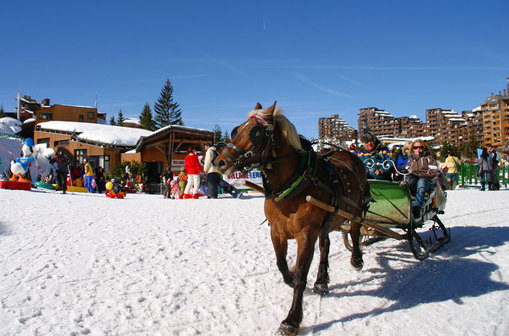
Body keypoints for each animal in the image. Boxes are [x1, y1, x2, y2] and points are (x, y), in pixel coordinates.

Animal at [215, 103, 370, 336]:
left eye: (256, 132)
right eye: (235, 130)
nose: (220, 161)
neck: (292, 186)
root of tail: (349, 154)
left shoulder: (306, 234)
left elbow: (300, 278)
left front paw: (292, 320)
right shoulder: (276, 231)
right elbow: (282, 265)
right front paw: (290, 274)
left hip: (356, 211)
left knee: (354, 231)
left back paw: (356, 259)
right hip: (328, 221)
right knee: (325, 245)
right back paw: (322, 281)